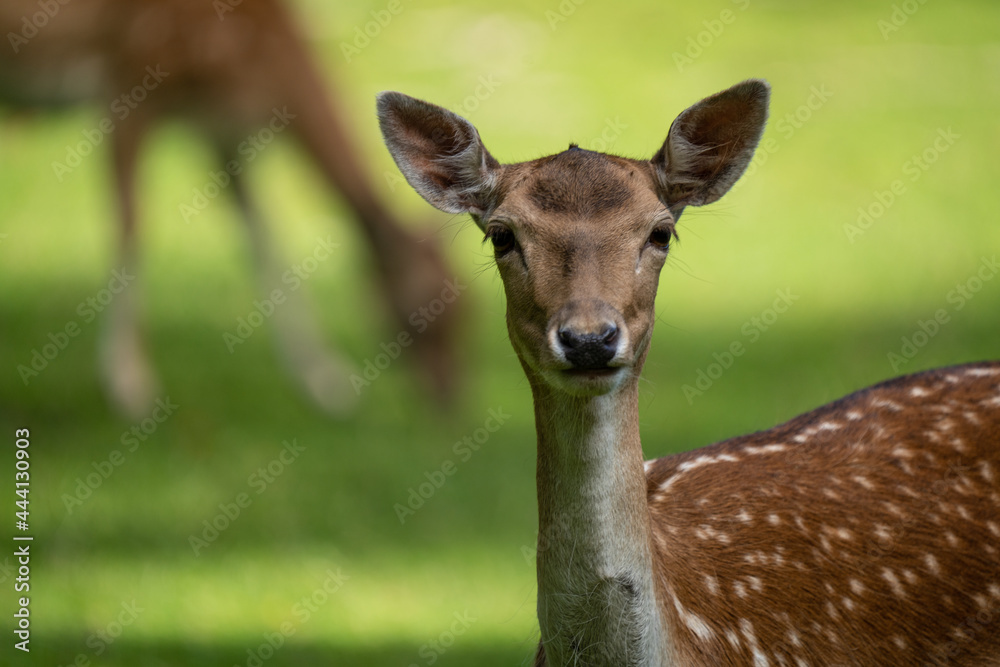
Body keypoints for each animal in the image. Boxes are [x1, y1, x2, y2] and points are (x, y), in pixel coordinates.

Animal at [0, 0, 458, 418]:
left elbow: (264, 242)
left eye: (465, 304)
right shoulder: (128, 77)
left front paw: (328, 384)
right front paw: (131, 388)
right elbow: (131, 227)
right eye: (427, 313)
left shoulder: (222, 134)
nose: (450, 400)